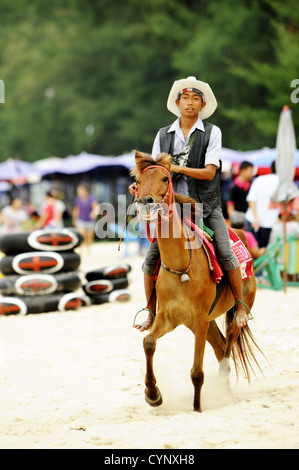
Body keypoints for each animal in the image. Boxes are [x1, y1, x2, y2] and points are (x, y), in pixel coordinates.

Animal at [133, 151, 262, 412]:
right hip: (206, 323)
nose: (145, 201)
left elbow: (197, 372)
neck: (181, 267)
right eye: (138, 182)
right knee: (220, 348)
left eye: (165, 178)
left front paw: (197, 408)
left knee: (228, 344)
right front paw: (153, 394)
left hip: (232, 312)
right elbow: (148, 342)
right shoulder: (169, 318)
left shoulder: (200, 320)